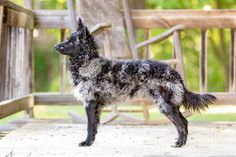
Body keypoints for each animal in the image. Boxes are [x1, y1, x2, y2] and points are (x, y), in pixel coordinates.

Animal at [54, 18, 217, 147]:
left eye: (70, 41)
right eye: (67, 38)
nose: (55, 46)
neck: (88, 63)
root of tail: (174, 72)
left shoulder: (90, 103)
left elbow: (89, 127)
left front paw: (87, 143)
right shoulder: (95, 106)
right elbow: (94, 128)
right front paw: (91, 142)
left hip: (166, 106)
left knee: (182, 124)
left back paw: (179, 144)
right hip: (169, 106)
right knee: (184, 122)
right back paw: (181, 142)